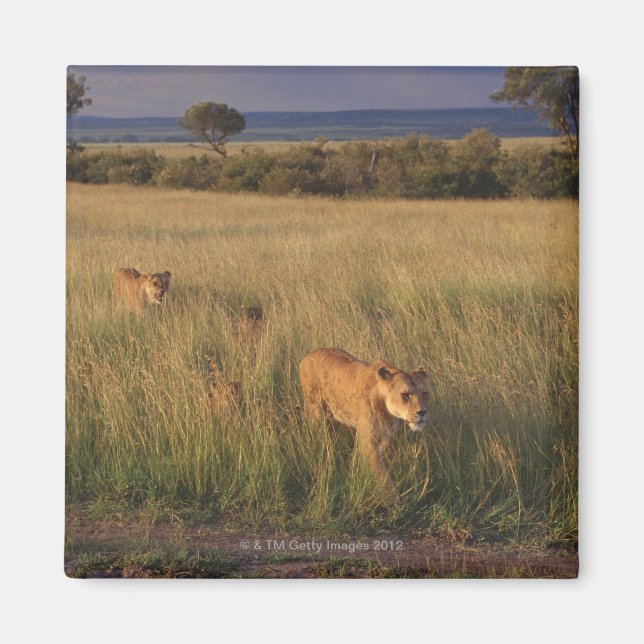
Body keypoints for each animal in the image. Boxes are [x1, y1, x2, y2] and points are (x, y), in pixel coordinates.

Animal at [299, 347, 429, 497]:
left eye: (425, 394)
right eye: (405, 395)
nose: (423, 412)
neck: (388, 412)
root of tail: (308, 355)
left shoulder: (386, 437)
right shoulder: (367, 441)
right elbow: (382, 476)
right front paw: (394, 500)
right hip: (315, 409)